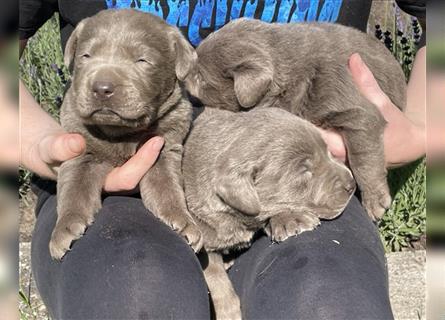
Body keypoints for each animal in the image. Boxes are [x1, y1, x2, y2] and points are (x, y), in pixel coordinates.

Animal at [48, 9, 201, 260]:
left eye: (142, 60)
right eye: (86, 56)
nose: (102, 88)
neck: (122, 131)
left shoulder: (165, 145)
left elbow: (167, 187)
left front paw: (183, 222)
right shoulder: (80, 149)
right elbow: (73, 188)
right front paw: (64, 231)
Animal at [182, 106, 356, 318]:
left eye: (327, 149)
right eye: (305, 171)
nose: (352, 184)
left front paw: (290, 219)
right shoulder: (203, 245)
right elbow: (216, 279)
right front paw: (229, 313)